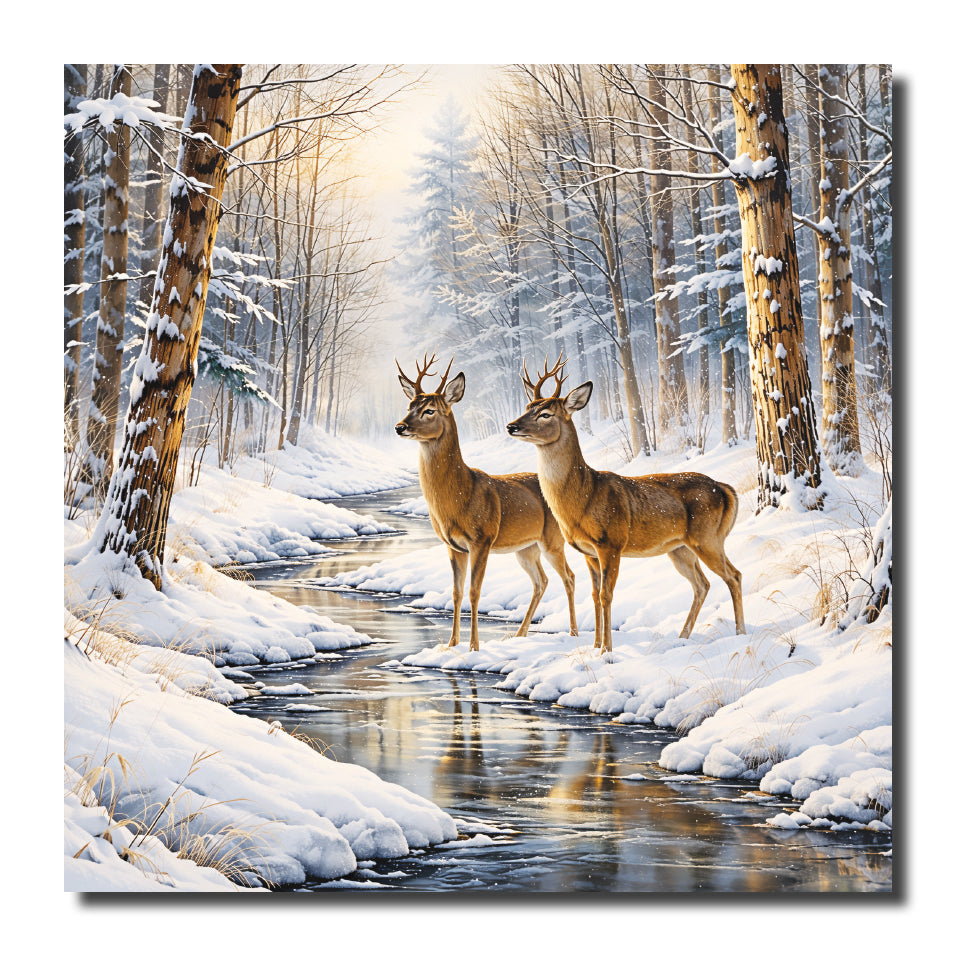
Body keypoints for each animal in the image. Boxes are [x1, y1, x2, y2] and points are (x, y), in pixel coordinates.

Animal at [394, 353, 579, 652]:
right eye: (410, 405)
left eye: (429, 410)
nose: (400, 426)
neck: (460, 494)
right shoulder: (453, 545)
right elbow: (456, 592)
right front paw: (451, 644)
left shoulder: (482, 539)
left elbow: (474, 591)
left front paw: (473, 646)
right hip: (526, 548)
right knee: (541, 580)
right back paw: (519, 635)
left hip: (552, 540)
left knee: (569, 577)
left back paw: (573, 633)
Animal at [506, 354, 746, 653]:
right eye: (528, 406)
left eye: (546, 414)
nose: (512, 426)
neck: (584, 497)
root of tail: (726, 489)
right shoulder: (588, 551)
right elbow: (594, 595)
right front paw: (596, 645)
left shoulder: (611, 542)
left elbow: (607, 594)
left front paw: (607, 650)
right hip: (680, 548)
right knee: (702, 584)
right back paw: (682, 637)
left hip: (708, 538)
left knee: (734, 575)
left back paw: (740, 633)